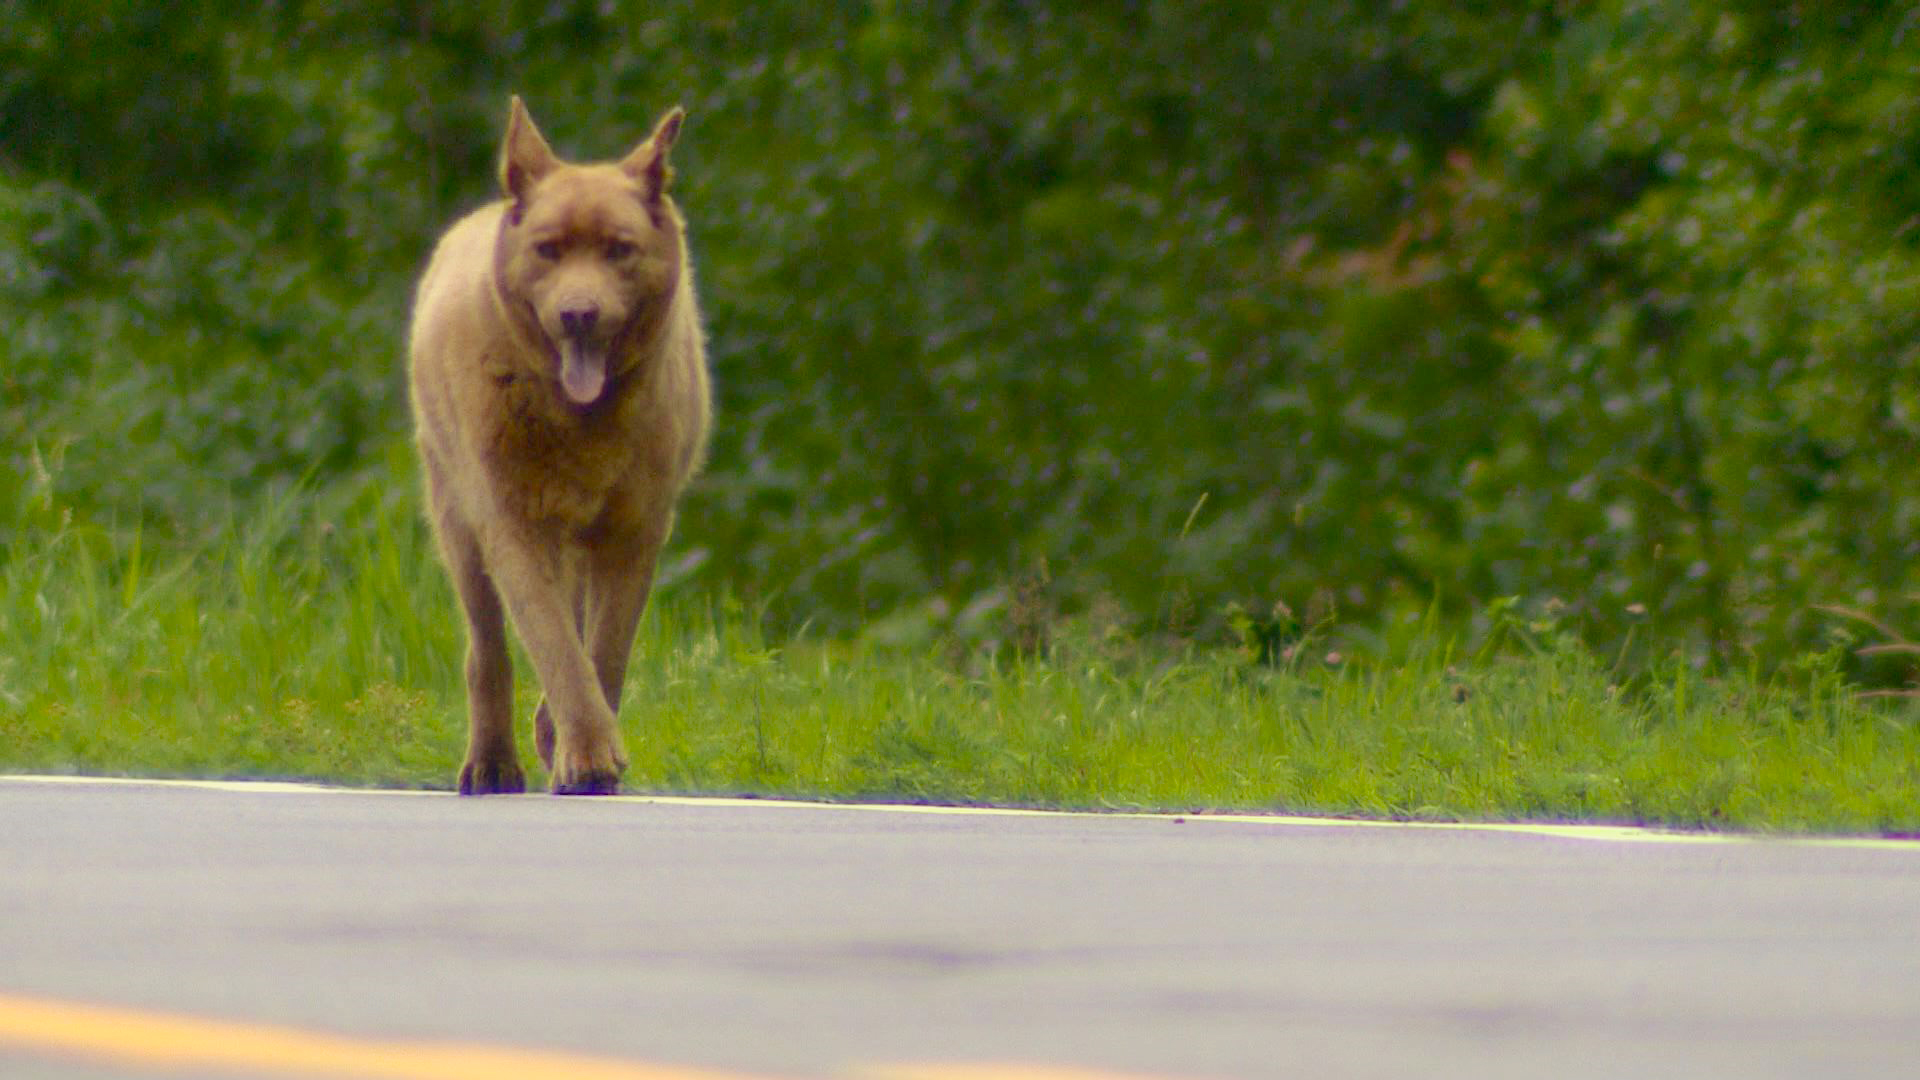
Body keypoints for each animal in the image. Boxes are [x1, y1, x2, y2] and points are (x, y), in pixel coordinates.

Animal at [407, 96, 714, 791]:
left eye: (619, 249)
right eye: (548, 250)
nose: (578, 313)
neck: (582, 420)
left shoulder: (636, 530)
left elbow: (603, 652)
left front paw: (579, 746)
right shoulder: (513, 522)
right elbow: (553, 644)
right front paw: (588, 752)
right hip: (456, 517)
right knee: (487, 649)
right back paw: (491, 762)